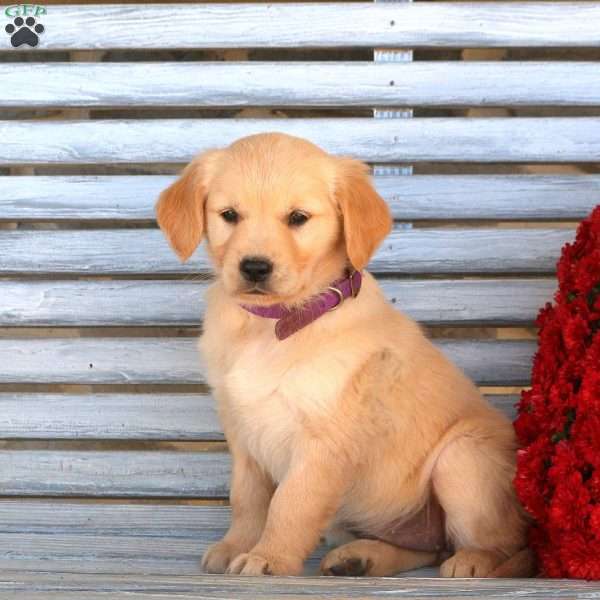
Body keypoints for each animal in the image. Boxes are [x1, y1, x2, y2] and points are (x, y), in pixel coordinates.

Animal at [156, 131, 528, 576]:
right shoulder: (241, 430)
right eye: (229, 215)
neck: (275, 325)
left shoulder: (323, 440)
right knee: (428, 547)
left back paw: (474, 561)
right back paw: (360, 559)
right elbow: (247, 499)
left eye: (298, 218)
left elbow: (290, 504)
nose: (254, 267)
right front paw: (236, 545)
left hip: (462, 457)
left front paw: (268, 557)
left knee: (503, 543)